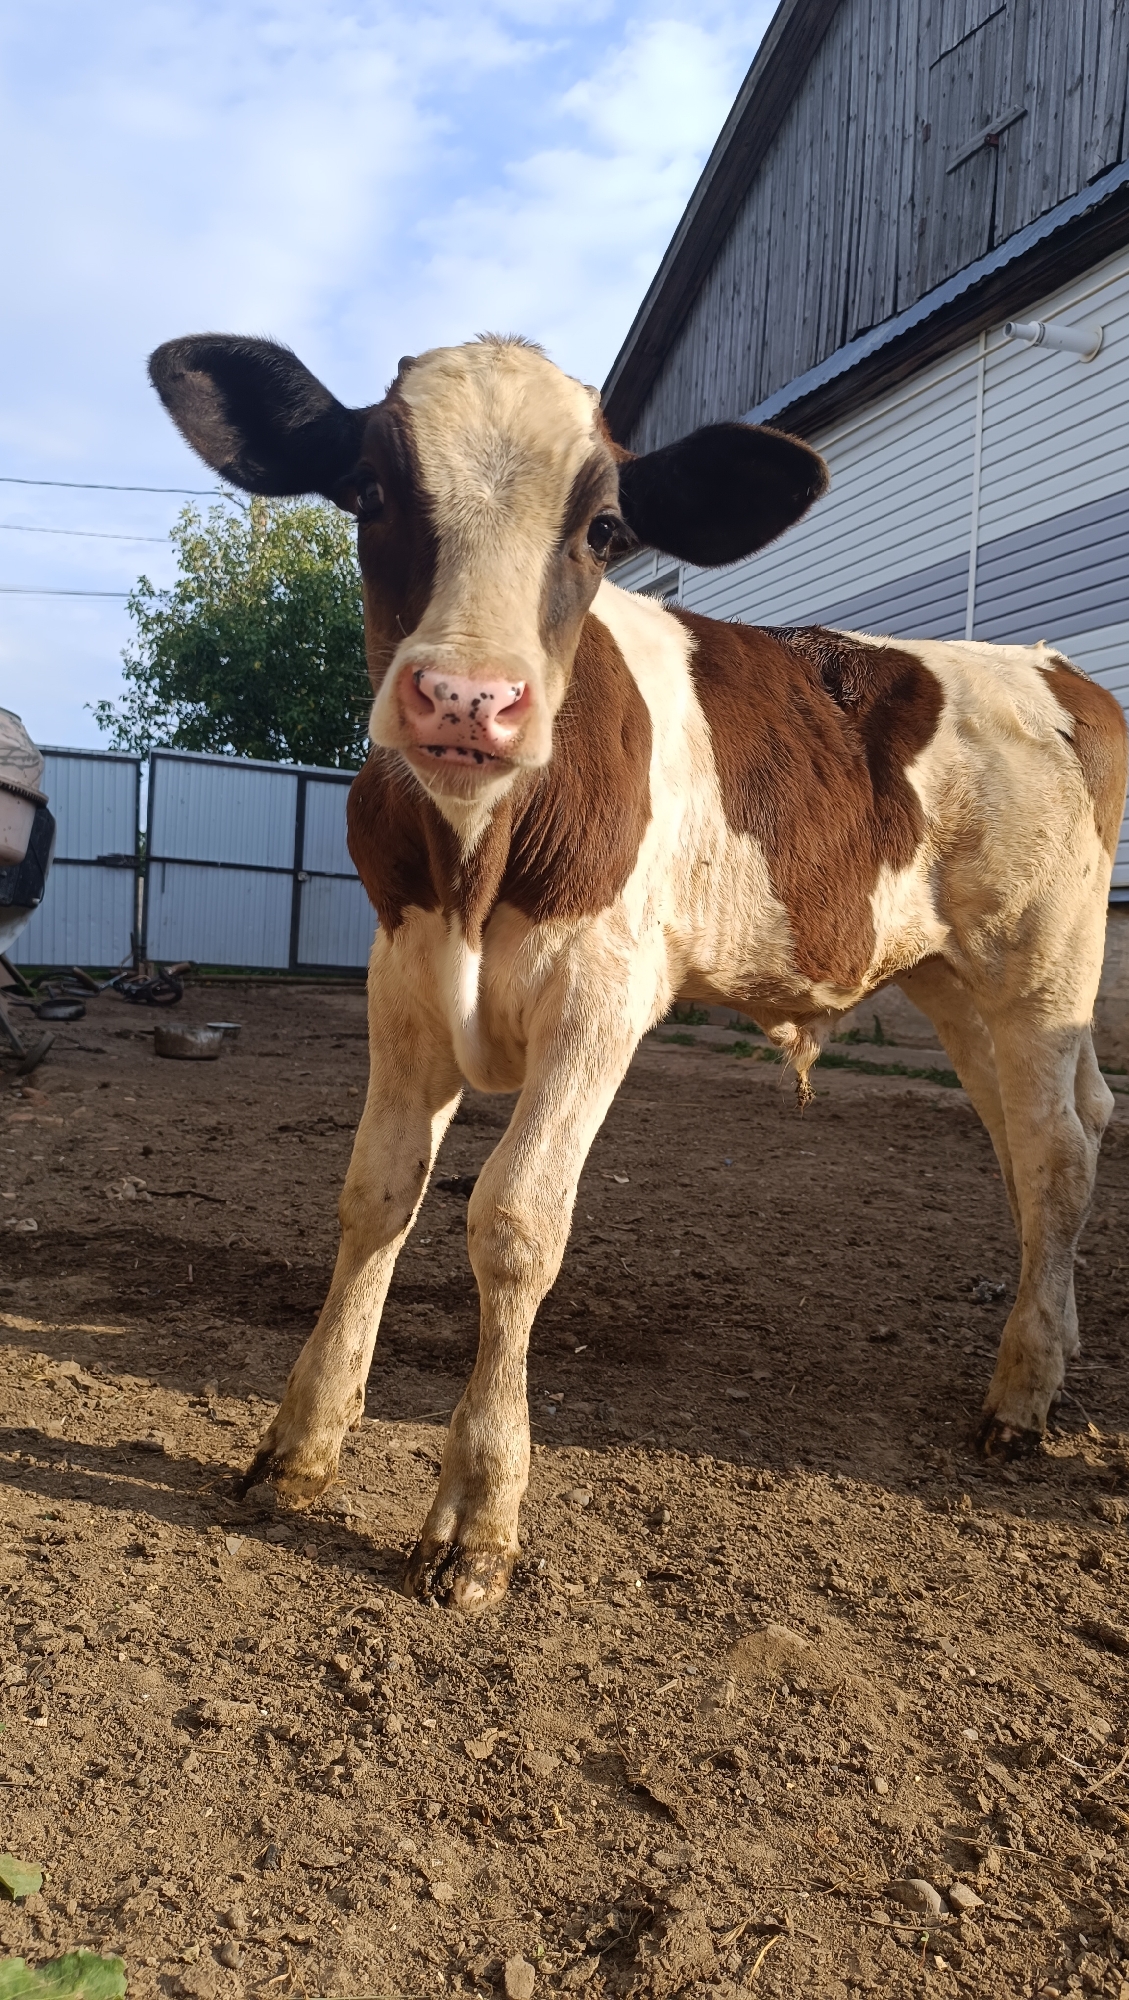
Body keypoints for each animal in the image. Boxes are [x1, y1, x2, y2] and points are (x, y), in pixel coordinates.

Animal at [150, 331, 1128, 1613]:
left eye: (604, 527)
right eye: (367, 491)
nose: (468, 699)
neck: (477, 856)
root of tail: (1053, 668)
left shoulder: (600, 997)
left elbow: (515, 1218)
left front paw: (476, 1517)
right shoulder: (400, 978)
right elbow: (375, 1194)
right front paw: (296, 1447)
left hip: (1041, 965)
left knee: (1058, 1153)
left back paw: (1020, 1395)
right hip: (952, 982)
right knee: (1043, 1138)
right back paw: (1046, 1343)